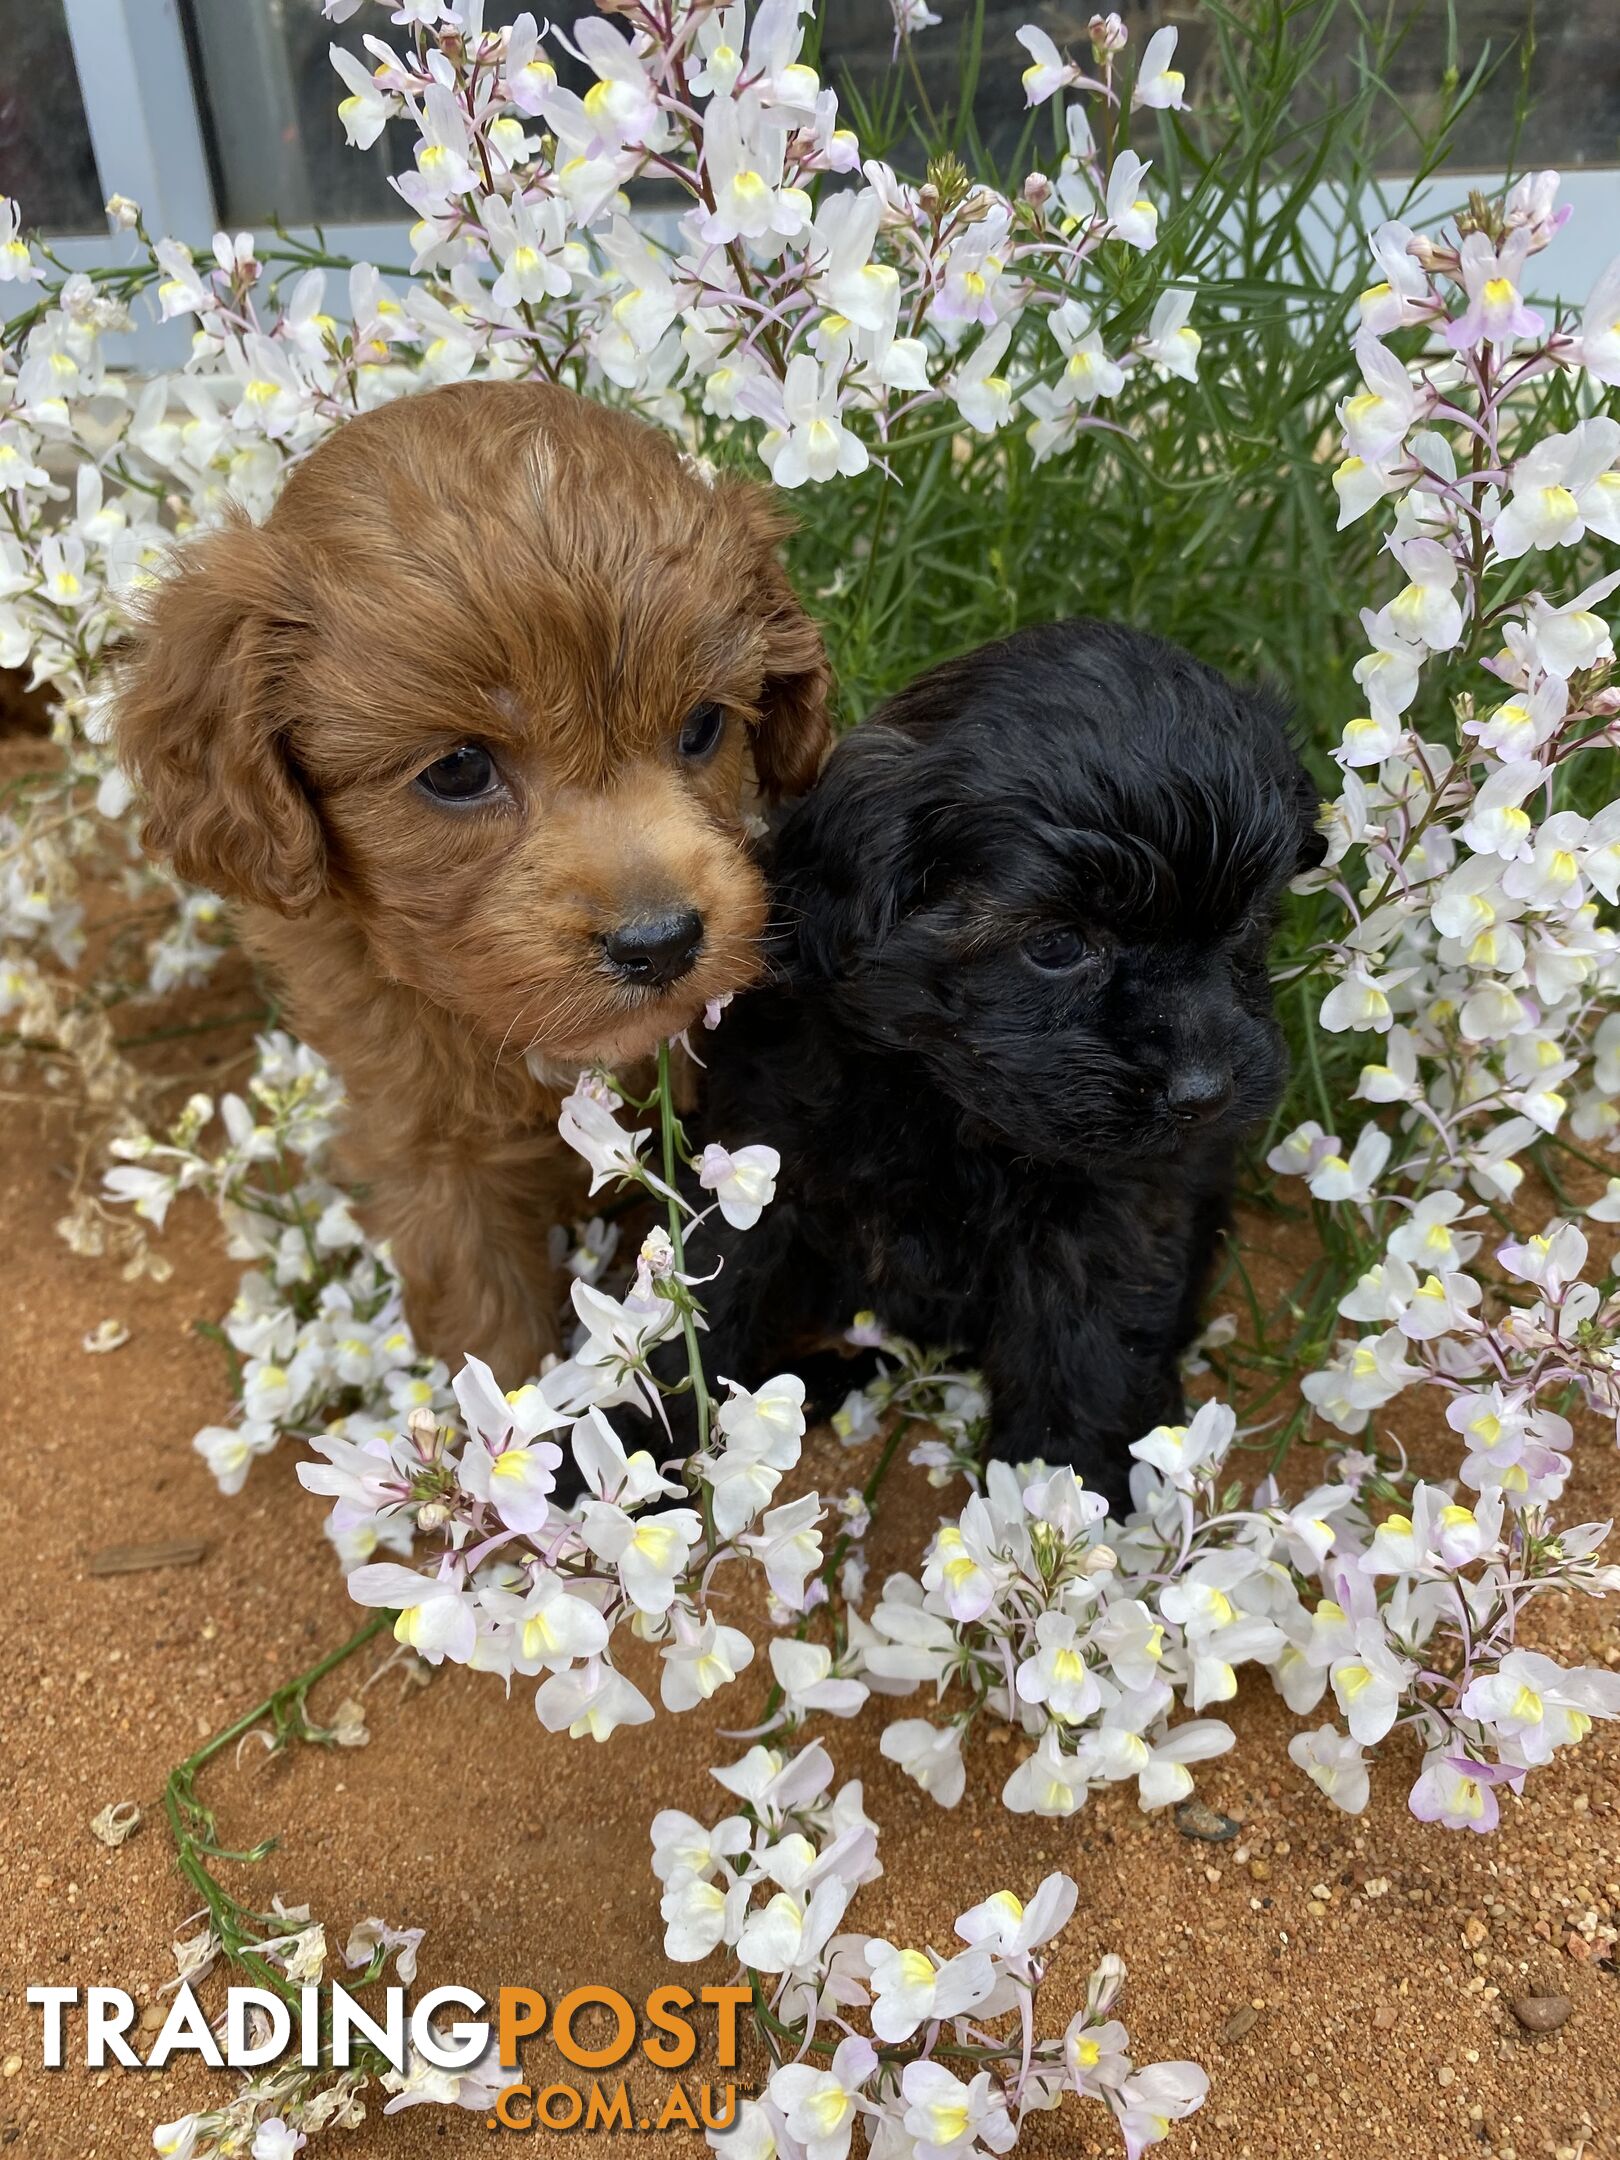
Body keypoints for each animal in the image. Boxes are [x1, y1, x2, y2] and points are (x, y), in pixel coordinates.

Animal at [678, 617, 1321, 1512]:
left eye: (1244, 926)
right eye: (1055, 945)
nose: (1204, 1094)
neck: (946, 1103)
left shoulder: (1110, 1217)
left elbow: (1086, 1351)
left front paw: (1064, 1496)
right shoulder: (765, 1159)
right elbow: (717, 1283)